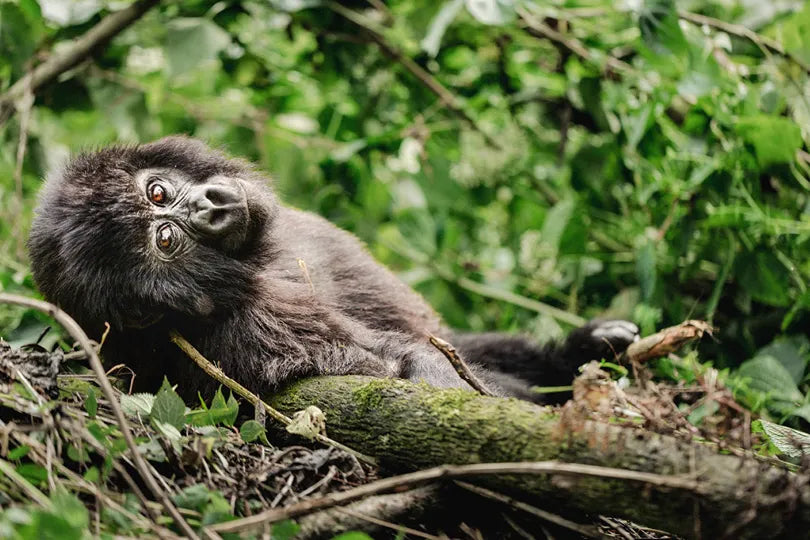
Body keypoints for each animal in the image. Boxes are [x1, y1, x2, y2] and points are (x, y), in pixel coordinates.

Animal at [27, 136, 639, 403]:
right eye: (166, 239)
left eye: (157, 192)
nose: (209, 206)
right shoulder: (237, 333)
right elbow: (397, 368)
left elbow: (441, 339)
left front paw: (581, 349)